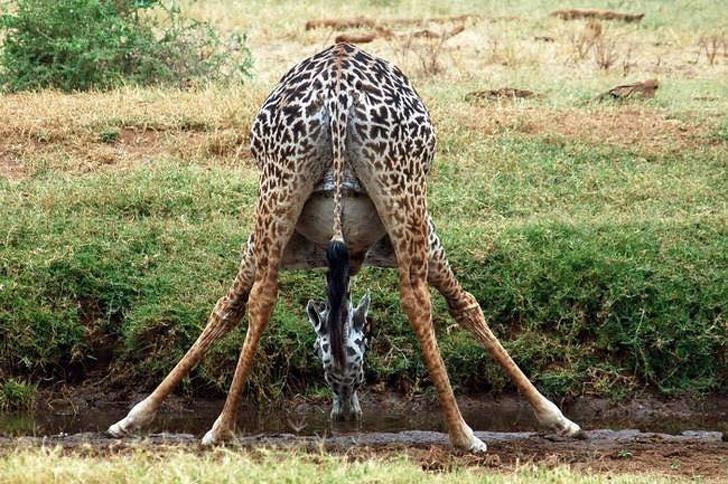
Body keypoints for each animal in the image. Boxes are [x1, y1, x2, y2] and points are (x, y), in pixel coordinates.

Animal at [107, 43, 583, 452]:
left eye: (349, 354)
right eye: (363, 345)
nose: (345, 413)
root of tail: (337, 92)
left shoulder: (272, 249)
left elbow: (226, 308)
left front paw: (133, 418)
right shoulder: (428, 240)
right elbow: (466, 305)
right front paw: (557, 418)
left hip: (277, 192)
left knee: (263, 295)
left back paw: (222, 428)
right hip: (403, 193)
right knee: (416, 299)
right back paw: (463, 434)